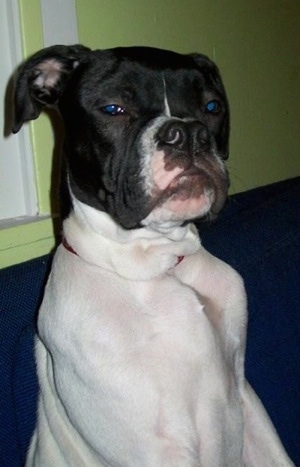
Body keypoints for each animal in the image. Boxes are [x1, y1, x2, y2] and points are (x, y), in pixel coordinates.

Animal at [12, 44, 292, 467]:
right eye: (113, 108)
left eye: (211, 106)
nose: (189, 132)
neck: (160, 267)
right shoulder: (160, 446)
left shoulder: (246, 400)